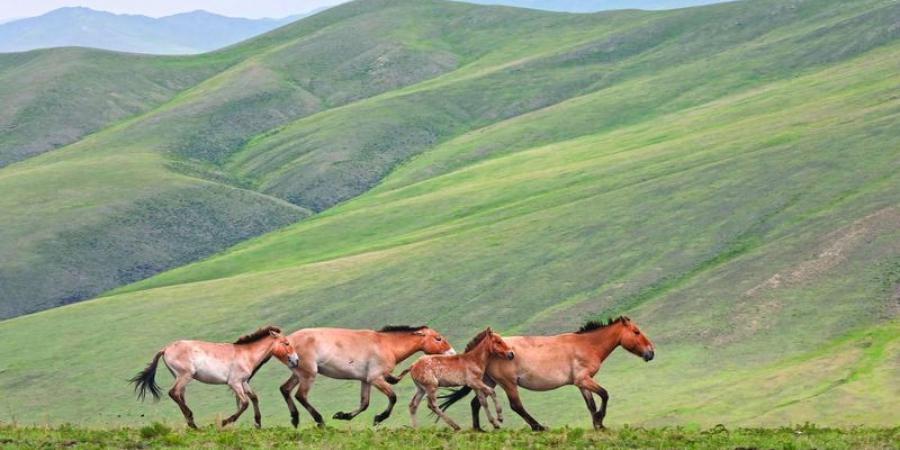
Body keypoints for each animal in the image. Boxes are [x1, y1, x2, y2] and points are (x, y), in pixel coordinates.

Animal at [130, 326, 300, 428]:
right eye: (286, 343)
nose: (296, 360)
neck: (245, 354)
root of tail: (165, 349)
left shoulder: (244, 382)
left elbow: (254, 398)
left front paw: (258, 423)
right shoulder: (234, 383)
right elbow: (244, 403)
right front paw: (225, 422)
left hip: (179, 377)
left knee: (179, 396)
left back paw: (192, 424)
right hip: (185, 376)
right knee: (173, 393)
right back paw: (192, 421)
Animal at [278, 326, 454, 428]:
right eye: (438, 338)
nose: (452, 353)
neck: (387, 345)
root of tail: (286, 341)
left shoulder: (365, 380)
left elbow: (364, 404)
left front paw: (342, 416)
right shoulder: (376, 379)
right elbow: (393, 397)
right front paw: (379, 418)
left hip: (298, 374)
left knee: (285, 389)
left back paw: (295, 419)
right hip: (308, 374)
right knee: (301, 395)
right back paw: (319, 421)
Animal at [438, 318, 652, 430]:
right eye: (636, 332)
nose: (651, 353)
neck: (586, 345)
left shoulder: (581, 383)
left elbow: (590, 404)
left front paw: (598, 425)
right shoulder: (584, 379)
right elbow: (605, 394)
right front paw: (600, 419)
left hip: (488, 381)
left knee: (476, 402)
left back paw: (479, 429)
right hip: (508, 383)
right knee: (516, 406)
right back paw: (538, 427)